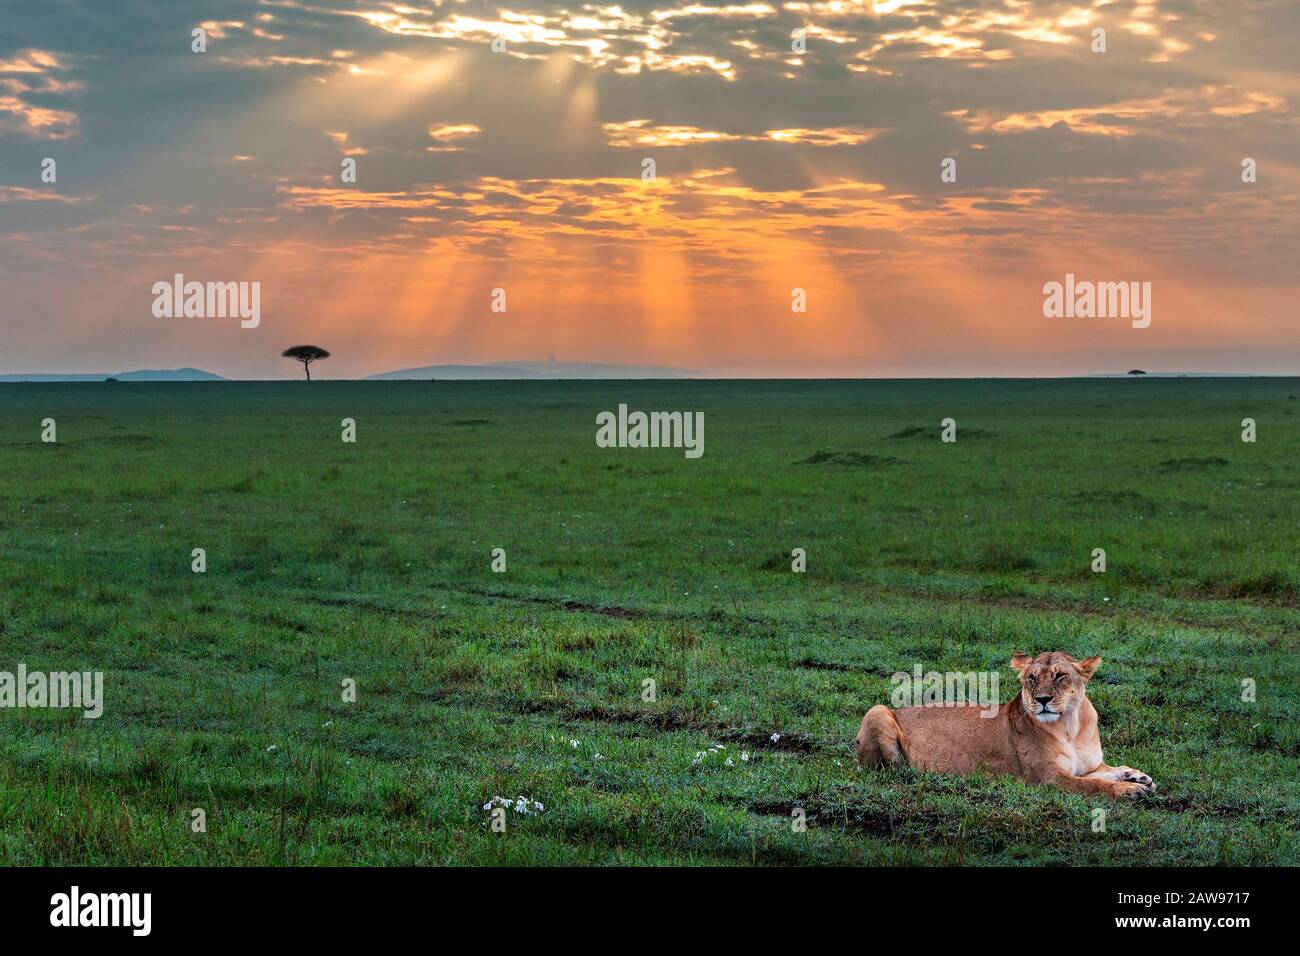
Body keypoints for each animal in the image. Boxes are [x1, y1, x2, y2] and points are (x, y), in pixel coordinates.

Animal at [855, 651, 1156, 799]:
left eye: (1059, 676)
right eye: (1032, 678)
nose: (1042, 700)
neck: (1070, 725)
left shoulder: (1088, 766)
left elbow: (1105, 771)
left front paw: (1137, 776)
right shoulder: (1048, 779)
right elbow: (1094, 785)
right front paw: (1128, 790)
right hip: (878, 710)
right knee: (891, 769)